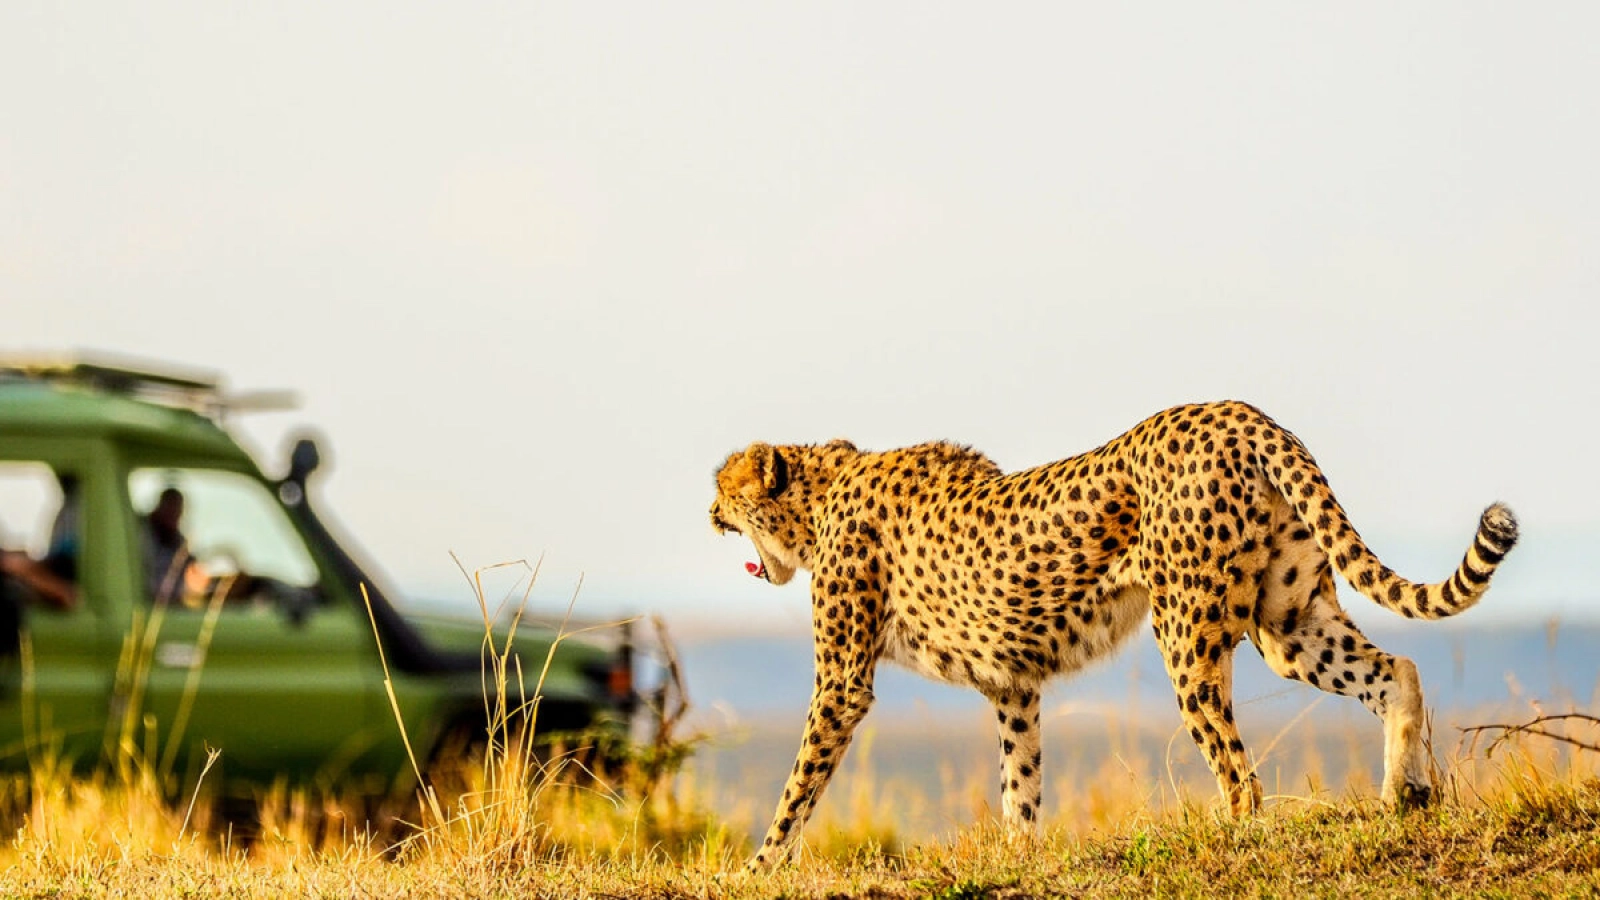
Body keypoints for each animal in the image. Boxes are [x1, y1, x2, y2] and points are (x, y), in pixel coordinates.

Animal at [709, 400, 1518, 870]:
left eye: (723, 489)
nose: (710, 514)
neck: (821, 496)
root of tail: (1238, 410)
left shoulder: (843, 683)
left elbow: (799, 783)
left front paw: (758, 870)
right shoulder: (1014, 684)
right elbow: (1021, 779)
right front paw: (1020, 858)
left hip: (1188, 637)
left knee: (1240, 775)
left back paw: (1234, 841)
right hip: (1288, 625)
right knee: (1396, 671)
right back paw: (1405, 797)